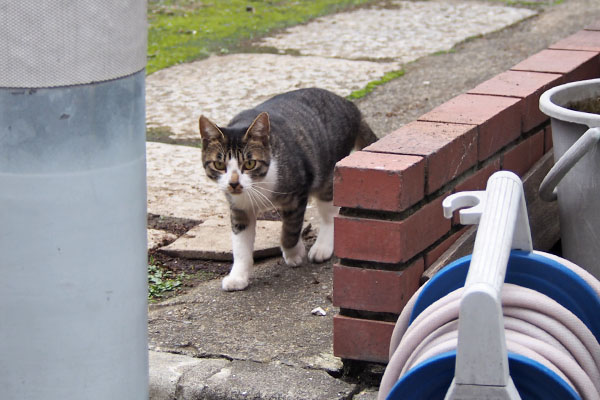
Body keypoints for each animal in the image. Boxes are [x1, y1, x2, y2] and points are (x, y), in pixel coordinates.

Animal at [198, 88, 376, 290]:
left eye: (250, 163)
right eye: (219, 165)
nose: (234, 183)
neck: (258, 185)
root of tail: (350, 106)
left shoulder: (297, 194)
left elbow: (290, 230)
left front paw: (294, 252)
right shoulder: (239, 208)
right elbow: (240, 243)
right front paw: (238, 276)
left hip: (328, 171)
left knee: (329, 212)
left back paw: (322, 246)